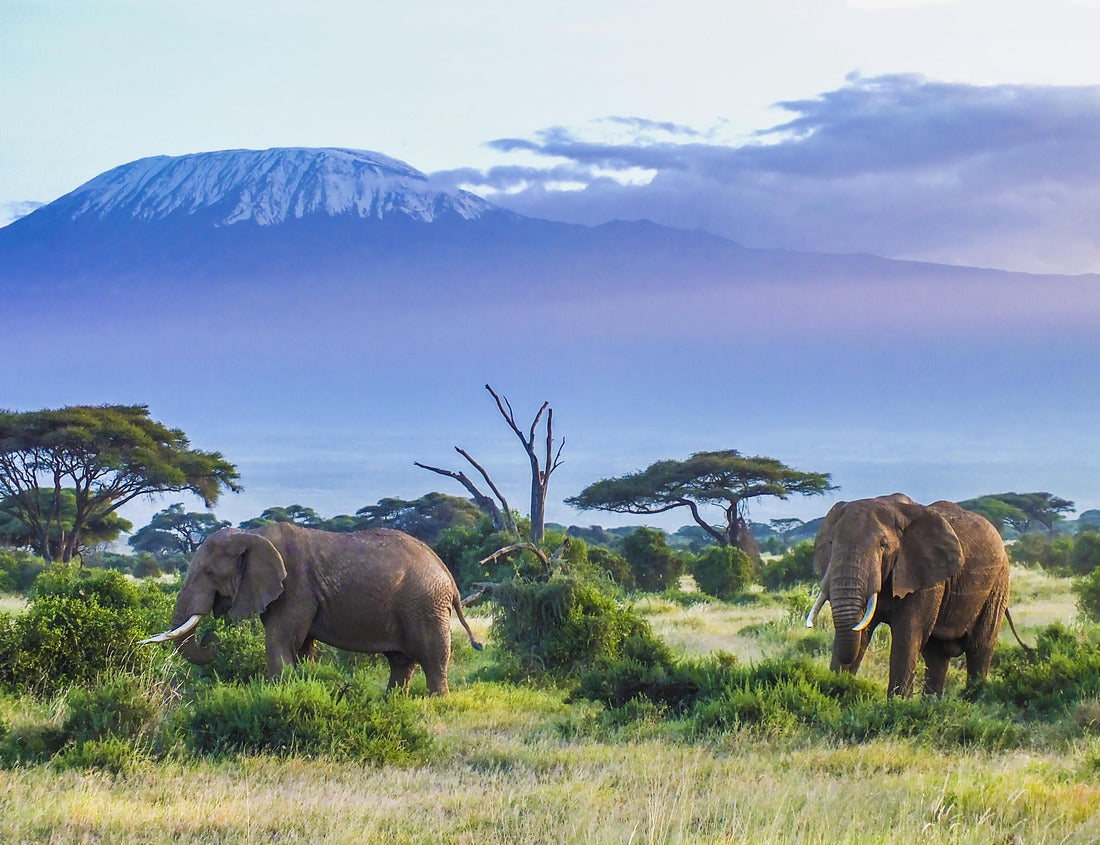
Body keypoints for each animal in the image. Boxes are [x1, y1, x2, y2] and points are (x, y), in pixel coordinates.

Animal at [142, 523, 482, 694]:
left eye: (210, 573)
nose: (212, 639)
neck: (253, 535)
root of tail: (448, 575)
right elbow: (302, 646)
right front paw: (303, 684)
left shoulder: (295, 587)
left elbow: (279, 641)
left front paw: (280, 694)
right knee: (401, 661)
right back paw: (392, 702)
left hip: (425, 604)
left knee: (432, 657)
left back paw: (436, 702)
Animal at [805, 494, 1010, 697]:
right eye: (831, 543)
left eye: (883, 545)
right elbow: (861, 631)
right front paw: (837, 692)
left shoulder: (925, 576)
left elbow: (907, 636)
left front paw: (897, 703)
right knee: (936, 654)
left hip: (999, 584)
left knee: (979, 648)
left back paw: (973, 697)